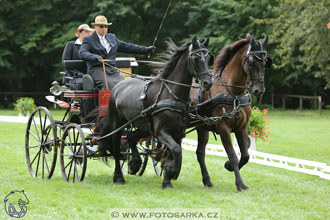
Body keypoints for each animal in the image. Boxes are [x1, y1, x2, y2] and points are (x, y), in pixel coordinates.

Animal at [96, 37, 213, 188]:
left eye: (209, 58)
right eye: (196, 58)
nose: (208, 83)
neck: (172, 94)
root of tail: (117, 86)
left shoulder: (178, 132)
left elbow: (173, 153)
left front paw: (168, 178)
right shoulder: (161, 132)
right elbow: (176, 150)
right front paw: (171, 172)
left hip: (144, 126)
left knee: (131, 138)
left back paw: (135, 164)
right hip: (118, 124)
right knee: (117, 150)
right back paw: (119, 177)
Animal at [191, 34, 274, 191]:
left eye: (265, 61)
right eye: (252, 61)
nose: (259, 90)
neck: (233, 93)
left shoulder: (242, 128)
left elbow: (245, 155)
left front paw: (228, 166)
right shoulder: (223, 128)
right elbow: (233, 155)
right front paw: (240, 183)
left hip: (202, 128)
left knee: (200, 152)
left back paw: (207, 181)